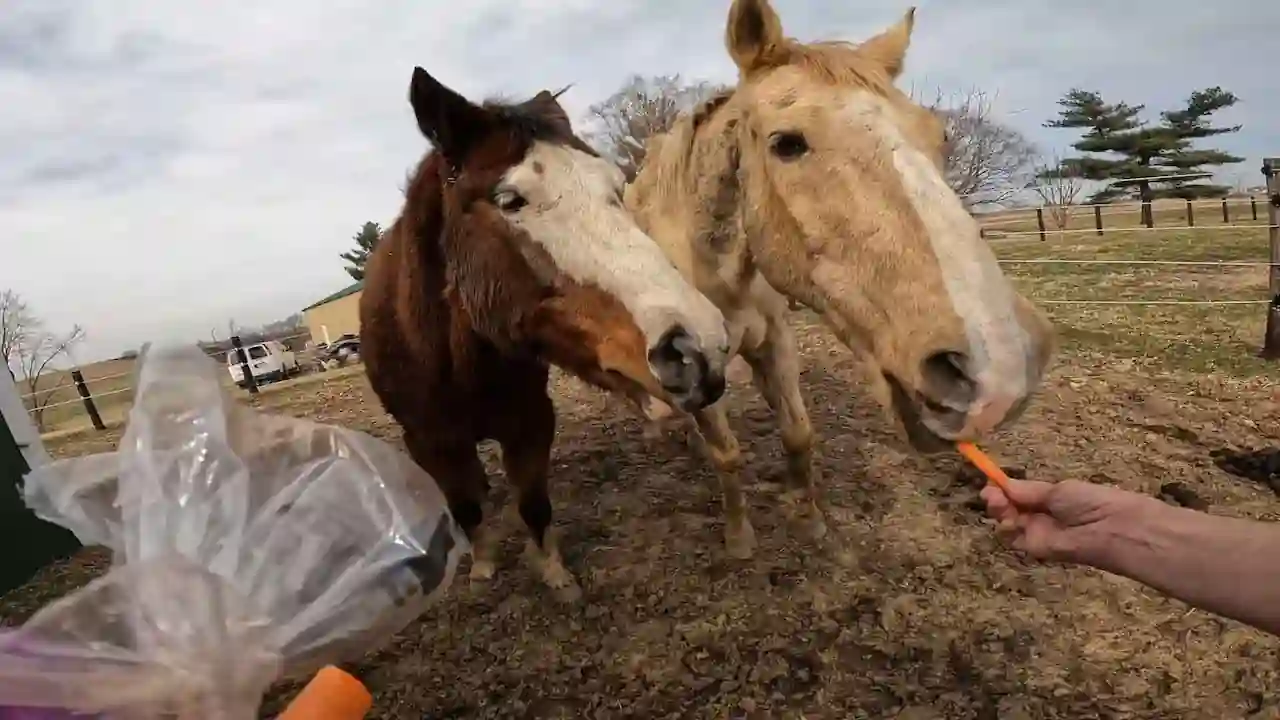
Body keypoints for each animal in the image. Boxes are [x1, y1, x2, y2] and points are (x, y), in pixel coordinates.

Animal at [360, 67, 733, 602]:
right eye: (510, 200)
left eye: (615, 189)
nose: (696, 348)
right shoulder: (429, 440)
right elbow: (466, 507)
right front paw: (483, 567)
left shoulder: (532, 421)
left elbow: (534, 504)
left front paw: (555, 575)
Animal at [624, 0, 1056, 560]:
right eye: (786, 143)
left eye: (939, 137)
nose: (1000, 371)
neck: (717, 270)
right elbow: (727, 454)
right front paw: (740, 539)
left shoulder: (775, 343)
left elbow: (798, 435)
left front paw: (808, 522)